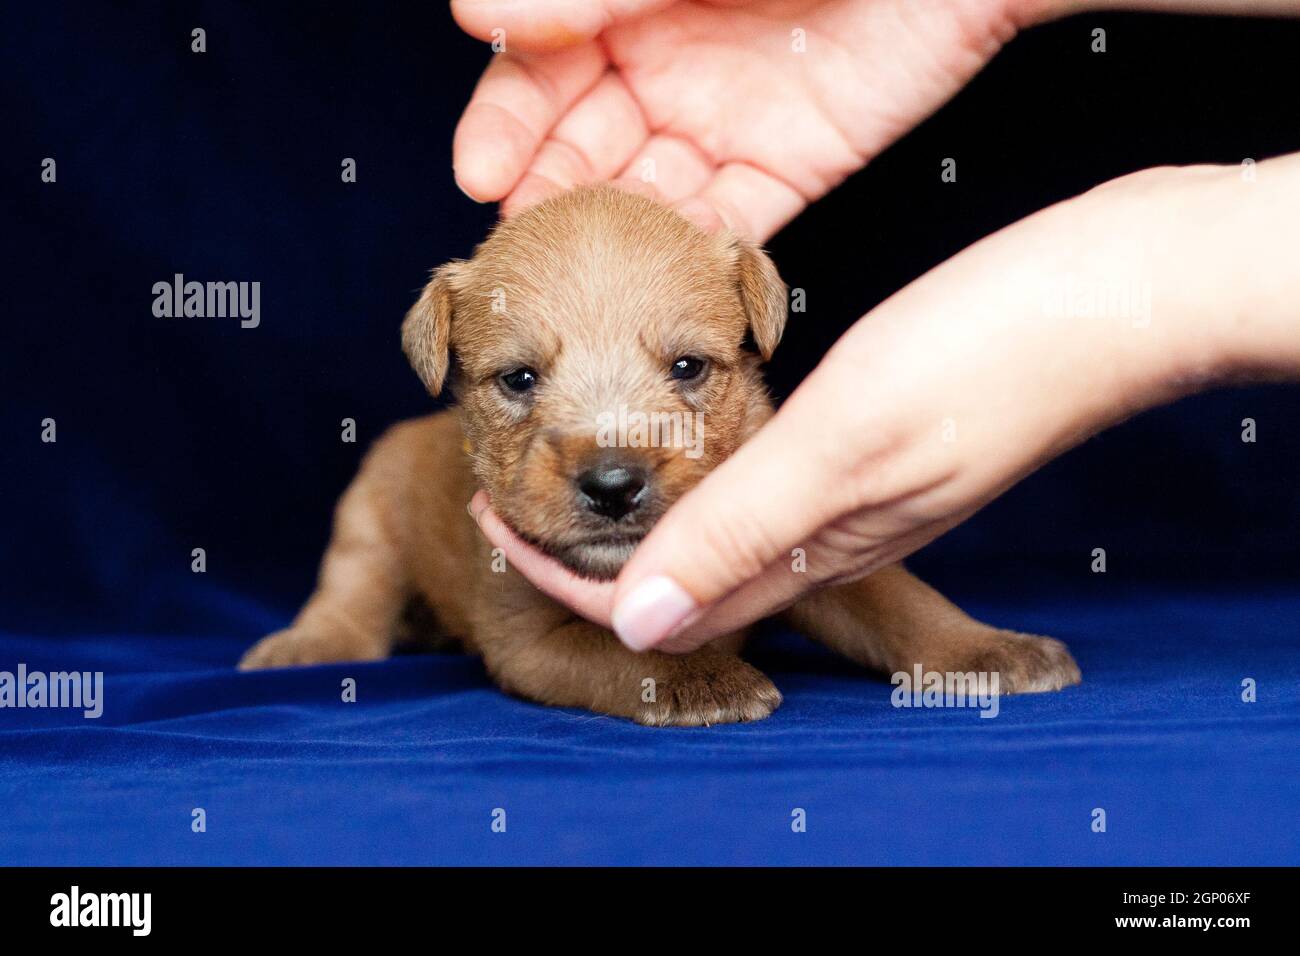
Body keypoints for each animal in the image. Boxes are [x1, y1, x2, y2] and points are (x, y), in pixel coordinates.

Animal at [239, 184, 1081, 723]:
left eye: (687, 367)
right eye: (518, 379)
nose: (613, 484)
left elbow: (898, 600)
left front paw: (986, 648)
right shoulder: (528, 637)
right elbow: (620, 652)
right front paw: (697, 678)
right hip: (370, 510)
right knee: (352, 591)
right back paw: (308, 644)